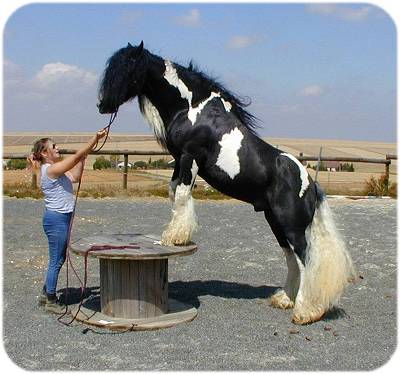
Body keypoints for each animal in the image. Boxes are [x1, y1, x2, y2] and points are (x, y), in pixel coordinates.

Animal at [97, 40, 354, 322]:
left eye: (127, 70)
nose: (102, 105)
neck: (192, 108)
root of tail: (311, 185)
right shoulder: (178, 159)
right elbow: (173, 191)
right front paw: (172, 234)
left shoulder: (189, 156)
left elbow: (183, 195)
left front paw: (175, 238)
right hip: (276, 223)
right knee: (292, 261)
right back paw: (285, 300)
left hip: (292, 228)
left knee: (306, 261)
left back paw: (304, 311)